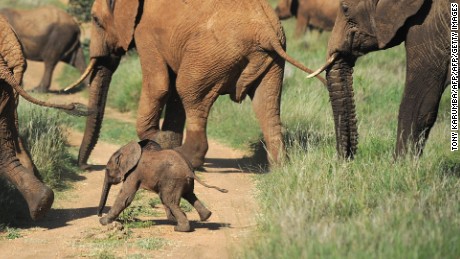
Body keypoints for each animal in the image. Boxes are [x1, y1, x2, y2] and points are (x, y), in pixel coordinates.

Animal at [66, 0, 326, 170]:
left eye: (96, 20)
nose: (85, 167)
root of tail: (266, 33)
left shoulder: (145, 31)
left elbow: (160, 85)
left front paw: (158, 140)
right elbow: (171, 91)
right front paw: (165, 141)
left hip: (211, 54)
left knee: (189, 89)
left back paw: (187, 158)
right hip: (271, 61)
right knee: (267, 104)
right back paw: (280, 168)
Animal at [98, 140, 227, 234]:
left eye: (107, 170)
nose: (99, 214)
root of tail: (189, 170)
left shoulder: (134, 172)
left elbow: (125, 197)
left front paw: (103, 221)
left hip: (173, 180)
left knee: (170, 200)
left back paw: (180, 228)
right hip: (182, 181)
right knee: (189, 195)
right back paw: (205, 216)